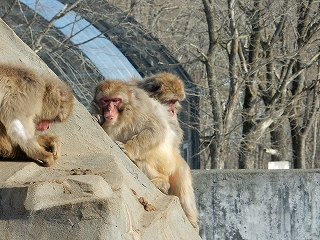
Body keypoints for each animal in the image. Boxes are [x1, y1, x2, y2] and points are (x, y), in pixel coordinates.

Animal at [94, 79, 199, 232]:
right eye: (105, 101)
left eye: (115, 100)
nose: (109, 110)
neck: (122, 118)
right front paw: (97, 117)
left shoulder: (139, 109)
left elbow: (156, 130)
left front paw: (126, 147)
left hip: (174, 166)